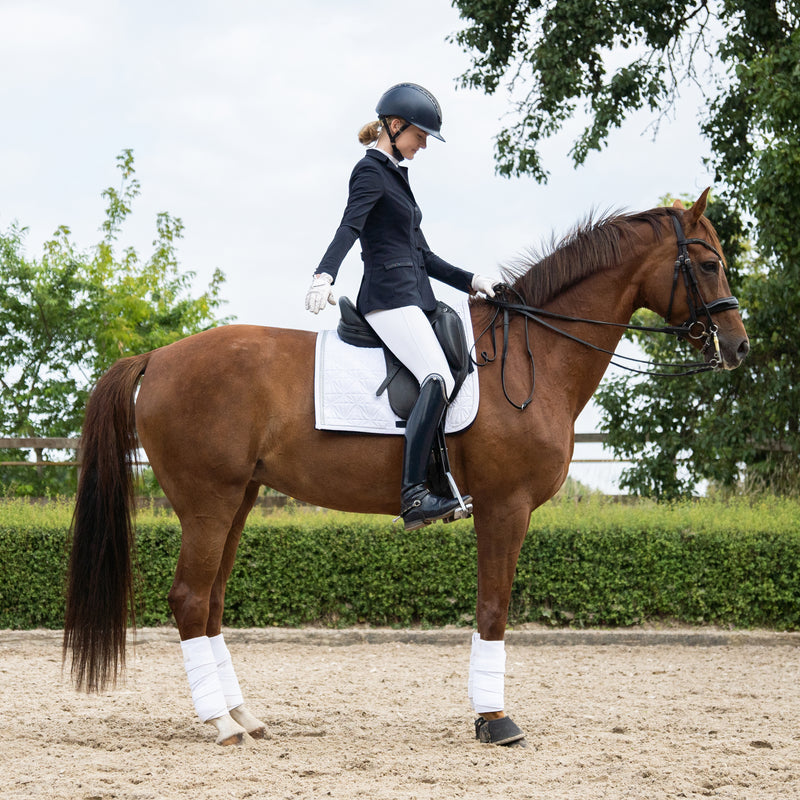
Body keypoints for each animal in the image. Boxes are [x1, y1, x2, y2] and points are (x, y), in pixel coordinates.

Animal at [64, 189, 749, 746]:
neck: (536, 357)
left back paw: (241, 717)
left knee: (209, 603)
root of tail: (158, 357)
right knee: (188, 599)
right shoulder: (505, 506)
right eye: (708, 263)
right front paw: (495, 721)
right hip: (209, 503)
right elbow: (494, 608)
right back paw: (218, 724)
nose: (738, 347)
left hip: (238, 500)